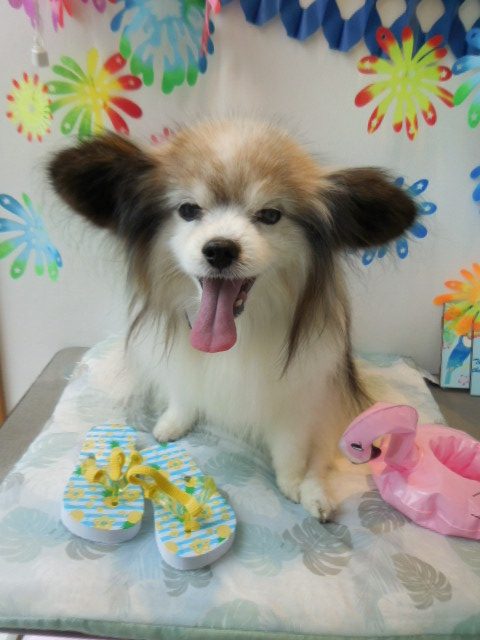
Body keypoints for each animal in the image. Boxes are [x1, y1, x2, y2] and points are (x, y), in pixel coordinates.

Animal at [48, 120, 416, 521]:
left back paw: (316, 496)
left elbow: (292, 448)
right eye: (188, 209)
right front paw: (173, 422)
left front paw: (293, 482)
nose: (220, 249)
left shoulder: (300, 398)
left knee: (322, 456)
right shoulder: (185, 368)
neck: (239, 333)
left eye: (270, 215)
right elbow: (183, 394)